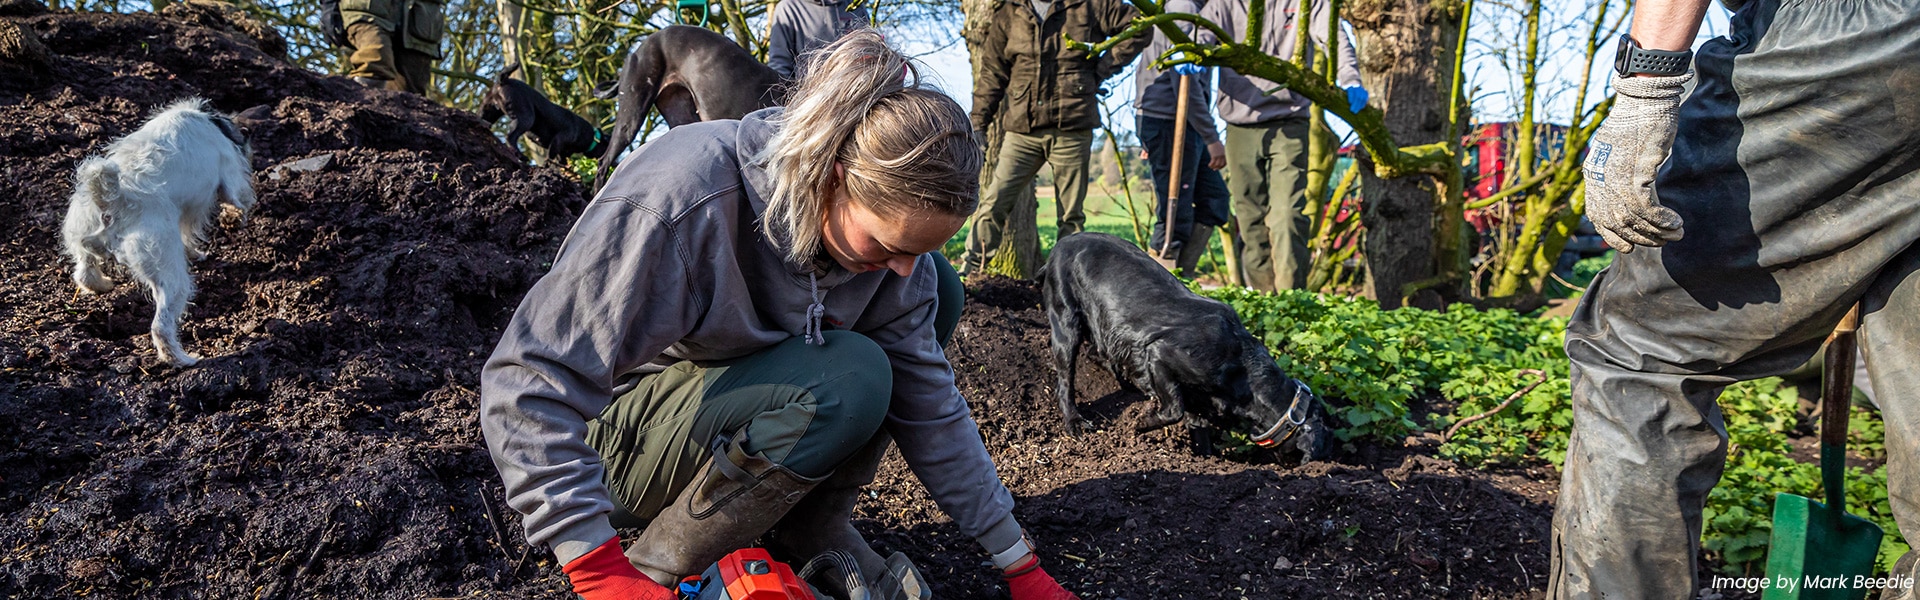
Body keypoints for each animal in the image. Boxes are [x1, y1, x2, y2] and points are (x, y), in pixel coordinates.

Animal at [1036, 231, 1336, 461]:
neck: (1243, 369)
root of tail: (1060, 245)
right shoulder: (1160, 355)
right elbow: (1173, 409)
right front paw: (1141, 424)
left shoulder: (1199, 407)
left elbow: (1198, 430)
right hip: (1065, 324)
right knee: (1065, 381)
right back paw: (1074, 422)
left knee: (1097, 353)